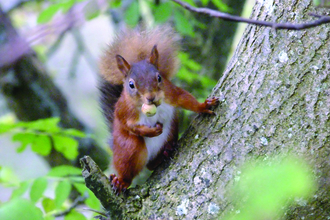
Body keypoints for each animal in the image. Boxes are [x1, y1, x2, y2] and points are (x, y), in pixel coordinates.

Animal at [98, 26, 219, 192]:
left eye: (159, 77)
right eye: (131, 85)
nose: (151, 97)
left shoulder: (171, 92)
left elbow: (186, 100)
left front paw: (204, 106)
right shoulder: (124, 111)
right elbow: (129, 126)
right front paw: (151, 131)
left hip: (172, 130)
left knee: (152, 163)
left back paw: (165, 152)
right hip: (128, 148)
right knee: (133, 166)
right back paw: (121, 181)